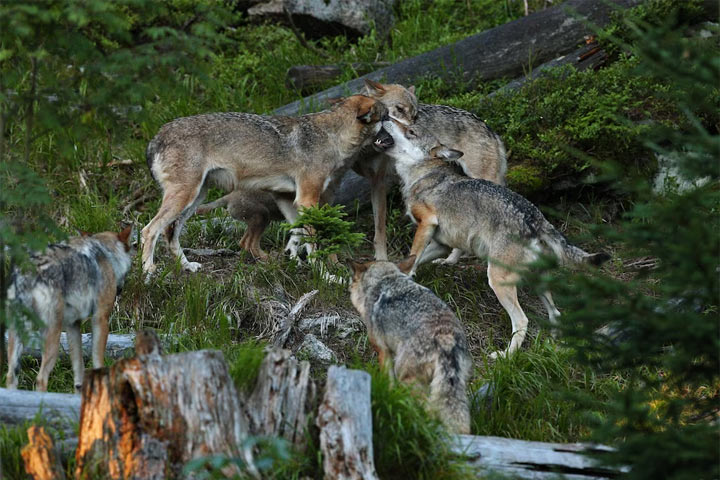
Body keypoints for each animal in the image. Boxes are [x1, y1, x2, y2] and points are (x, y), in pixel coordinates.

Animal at [6, 227, 135, 392]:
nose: (119, 290)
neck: (105, 252)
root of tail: (30, 269)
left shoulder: (73, 324)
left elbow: (78, 369)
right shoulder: (100, 318)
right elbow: (98, 361)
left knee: (11, 376)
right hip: (52, 335)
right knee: (41, 378)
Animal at [141, 94, 388, 274]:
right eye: (387, 118)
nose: (393, 139)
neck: (331, 137)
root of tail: (156, 137)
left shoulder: (288, 199)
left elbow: (297, 234)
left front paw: (293, 260)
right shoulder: (307, 200)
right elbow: (313, 241)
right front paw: (325, 275)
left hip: (194, 199)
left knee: (170, 233)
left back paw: (186, 266)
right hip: (185, 198)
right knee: (149, 230)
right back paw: (148, 271)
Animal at [348, 256, 472, 434]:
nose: (348, 288)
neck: (384, 279)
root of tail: (446, 338)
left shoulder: (383, 351)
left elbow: (388, 381)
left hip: (406, 378)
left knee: (428, 409)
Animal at [374, 122, 612, 358]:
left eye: (411, 131)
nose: (385, 117)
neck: (423, 174)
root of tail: (536, 218)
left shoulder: (427, 224)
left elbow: (413, 256)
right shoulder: (441, 244)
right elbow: (411, 259)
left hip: (497, 280)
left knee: (522, 321)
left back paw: (505, 356)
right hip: (537, 283)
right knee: (556, 313)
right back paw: (555, 344)